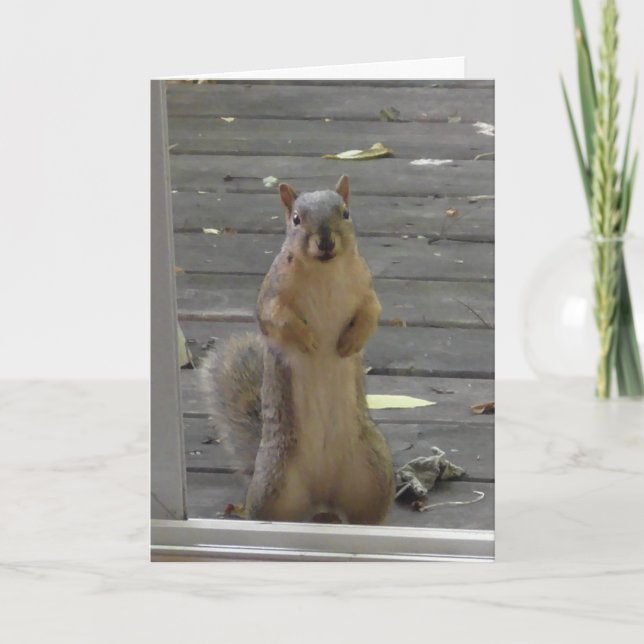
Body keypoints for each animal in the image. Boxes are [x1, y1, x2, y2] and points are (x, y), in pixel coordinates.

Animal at [204, 175, 395, 524]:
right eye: (296, 219)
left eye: (345, 213)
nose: (325, 241)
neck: (324, 271)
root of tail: (322, 498)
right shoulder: (272, 293)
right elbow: (275, 318)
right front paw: (305, 339)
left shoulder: (366, 289)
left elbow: (371, 313)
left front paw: (351, 341)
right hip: (274, 484)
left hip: (373, 475)